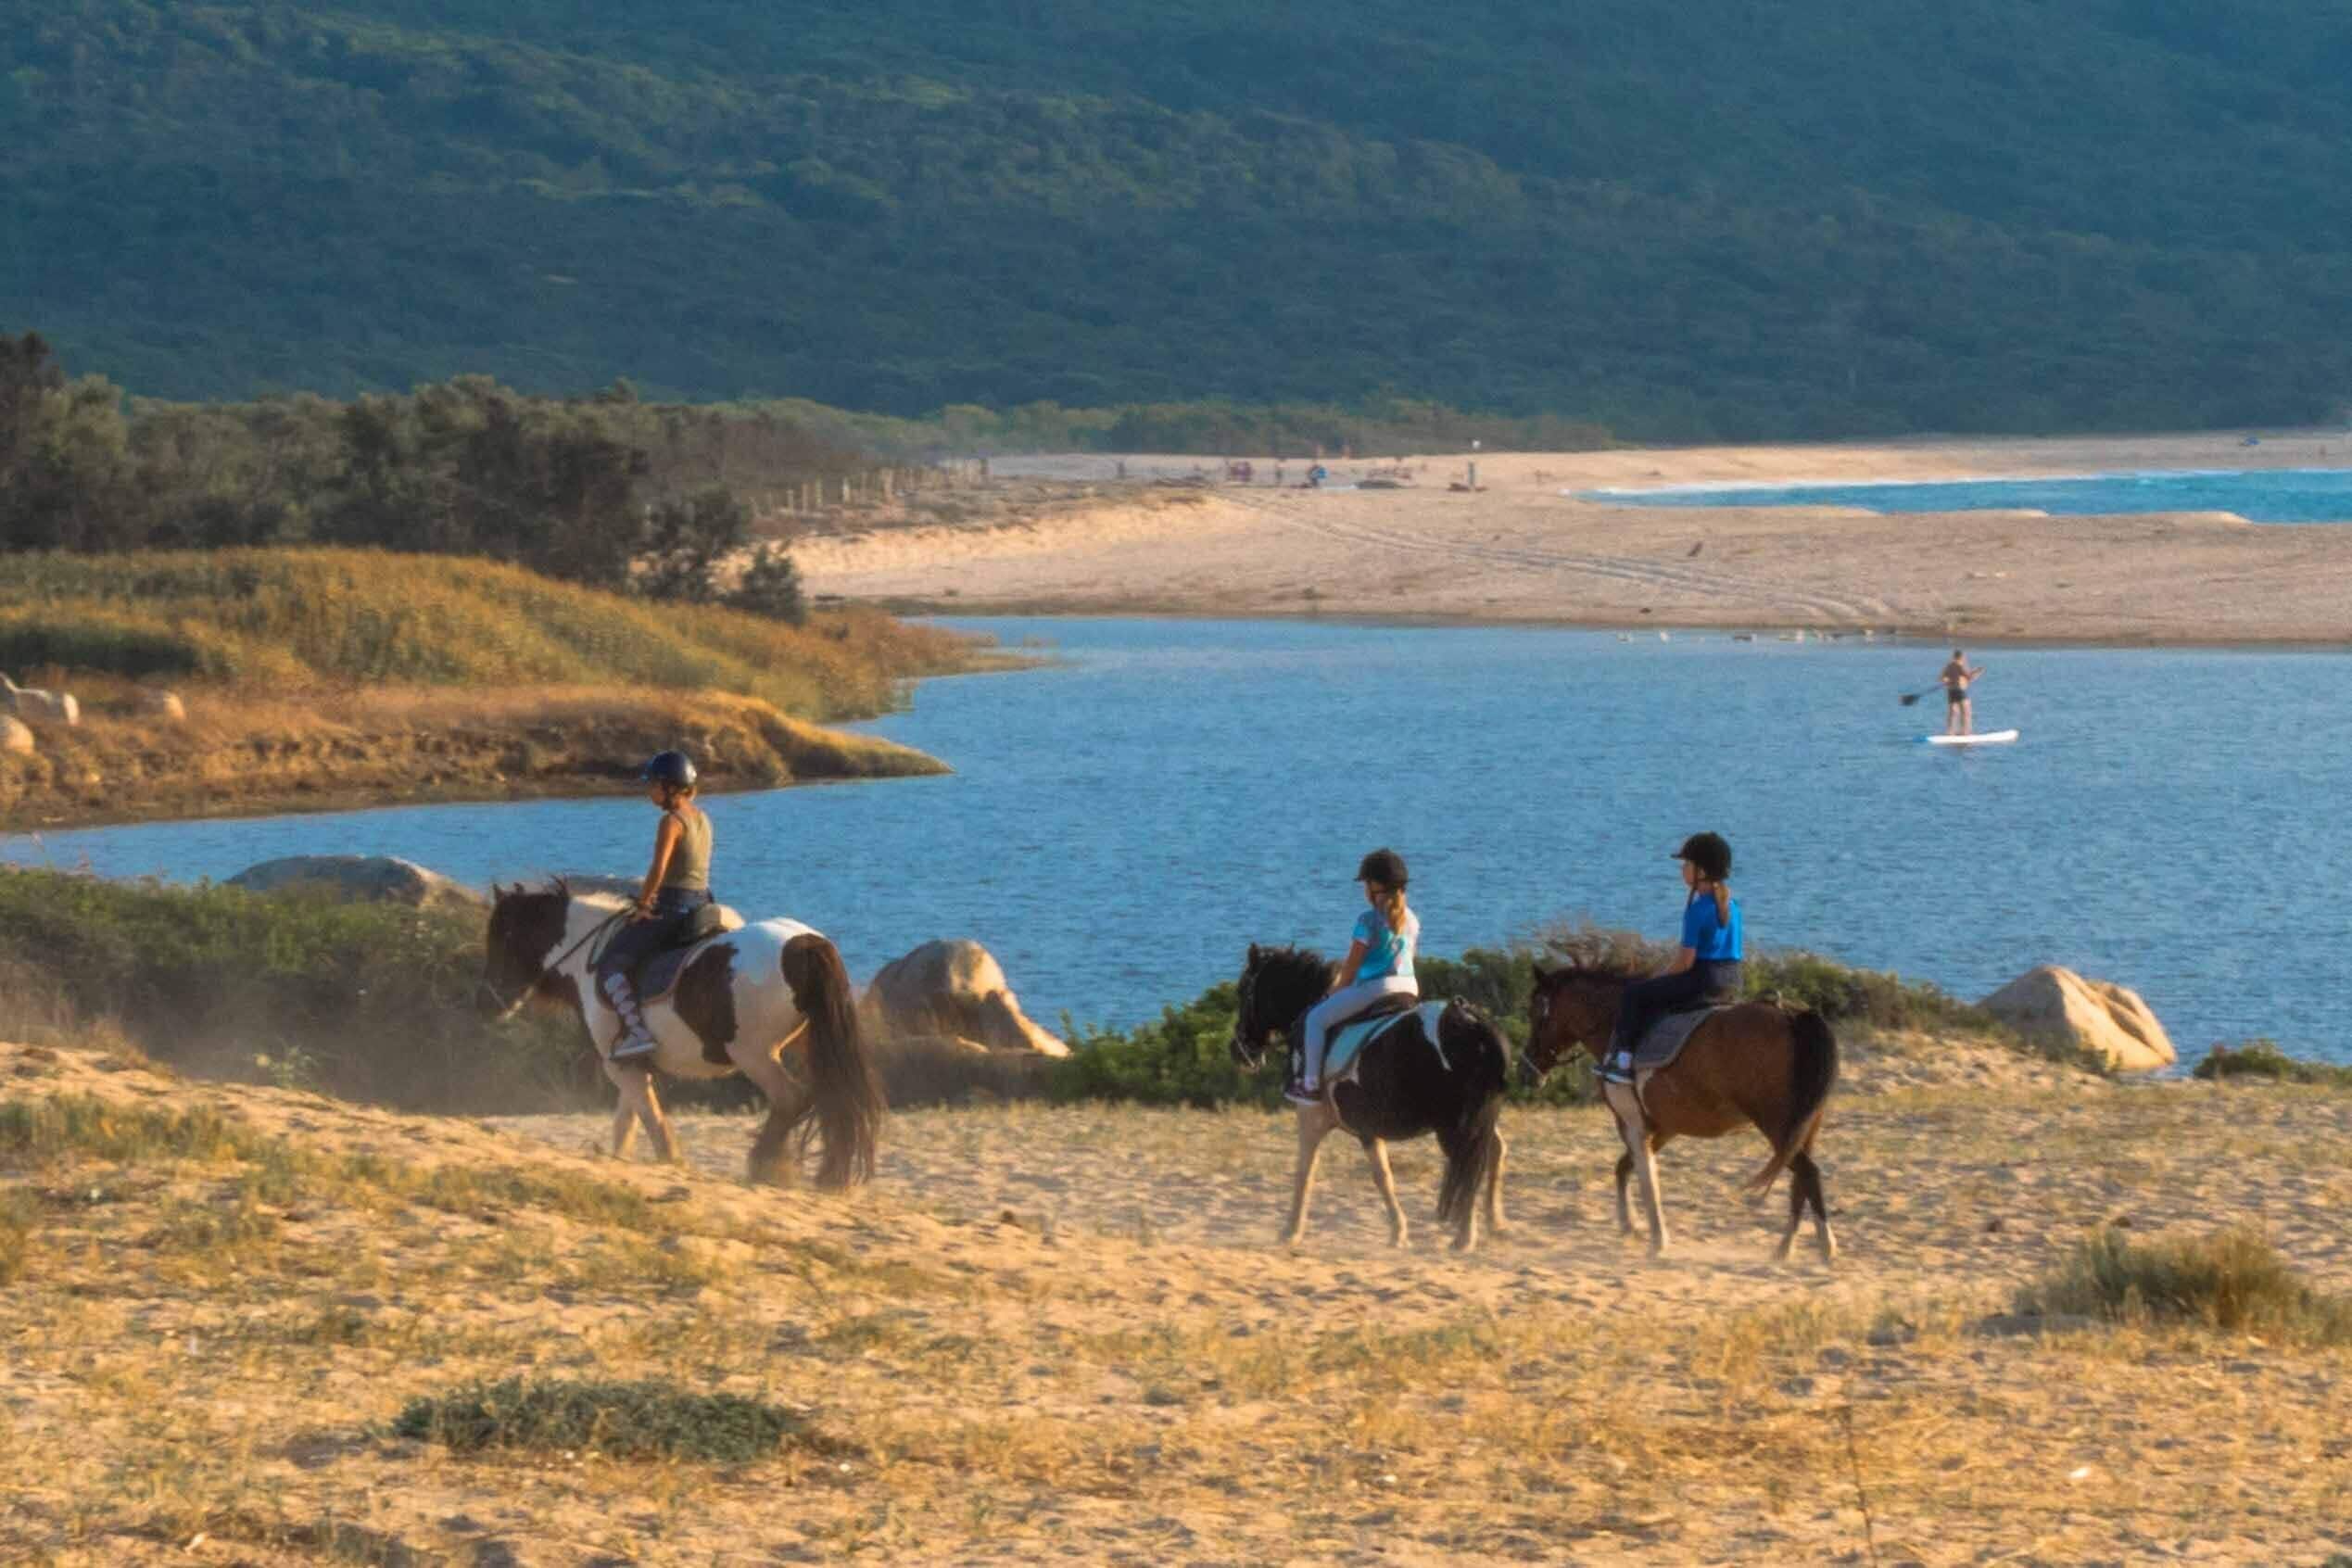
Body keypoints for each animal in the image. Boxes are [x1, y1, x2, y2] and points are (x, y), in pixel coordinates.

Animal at [481, 882, 884, 1189]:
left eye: (502, 937)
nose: (491, 1000)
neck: (588, 960)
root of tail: (803, 945)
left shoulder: (618, 1064)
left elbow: (650, 1118)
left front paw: (670, 1161)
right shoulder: (630, 1063)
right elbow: (628, 1121)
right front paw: (622, 1159)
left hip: (755, 1055)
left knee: (791, 1098)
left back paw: (764, 1164)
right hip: (807, 1047)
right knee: (825, 1098)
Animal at [1228, 944, 1511, 1252]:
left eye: (1243, 990)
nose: (1237, 1050)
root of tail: (1472, 1024)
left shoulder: (1312, 1117)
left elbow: (1305, 1171)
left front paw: (1290, 1232)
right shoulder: (1368, 1129)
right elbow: (1383, 1176)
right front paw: (1398, 1232)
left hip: (1455, 1126)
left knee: (1467, 1165)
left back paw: (1465, 1237)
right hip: (1481, 1118)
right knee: (1494, 1151)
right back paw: (1495, 1223)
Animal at [1522, 962, 1838, 1261]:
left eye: (1536, 1013)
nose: (1527, 1070)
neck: (1613, 1025)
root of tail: (1791, 1016)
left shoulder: (1632, 1124)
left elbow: (1647, 1179)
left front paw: (1657, 1240)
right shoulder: (1663, 1128)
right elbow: (1626, 1167)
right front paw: (1631, 1226)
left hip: (1776, 1125)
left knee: (1809, 1173)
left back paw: (1825, 1247)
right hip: (1803, 1129)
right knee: (1801, 1182)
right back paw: (1785, 1250)